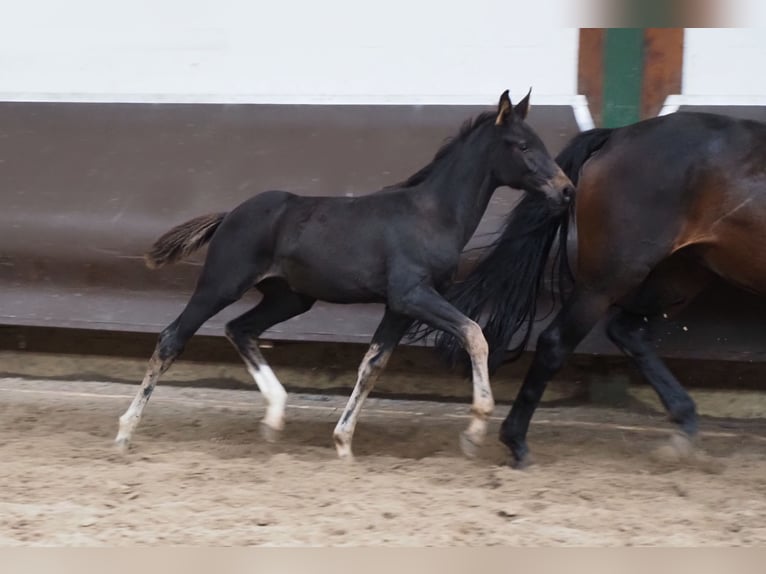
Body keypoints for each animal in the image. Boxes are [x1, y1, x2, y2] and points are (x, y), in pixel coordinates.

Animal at [114, 89, 576, 460]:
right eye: (522, 146)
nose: (567, 190)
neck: (432, 215)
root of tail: (230, 214)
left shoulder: (399, 307)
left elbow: (373, 364)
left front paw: (343, 443)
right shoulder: (412, 295)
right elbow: (474, 333)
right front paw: (476, 426)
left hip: (289, 297)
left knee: (239, 329)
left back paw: (275, 415)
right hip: (221, 284)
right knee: (174, 337)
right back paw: (124, 432)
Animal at [420, 111, 766, 468]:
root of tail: (618, 135)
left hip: (678, 274)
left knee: (627, 330)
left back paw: (682, 429)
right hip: (611, 277)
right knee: (557, 341)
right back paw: (515, 441)